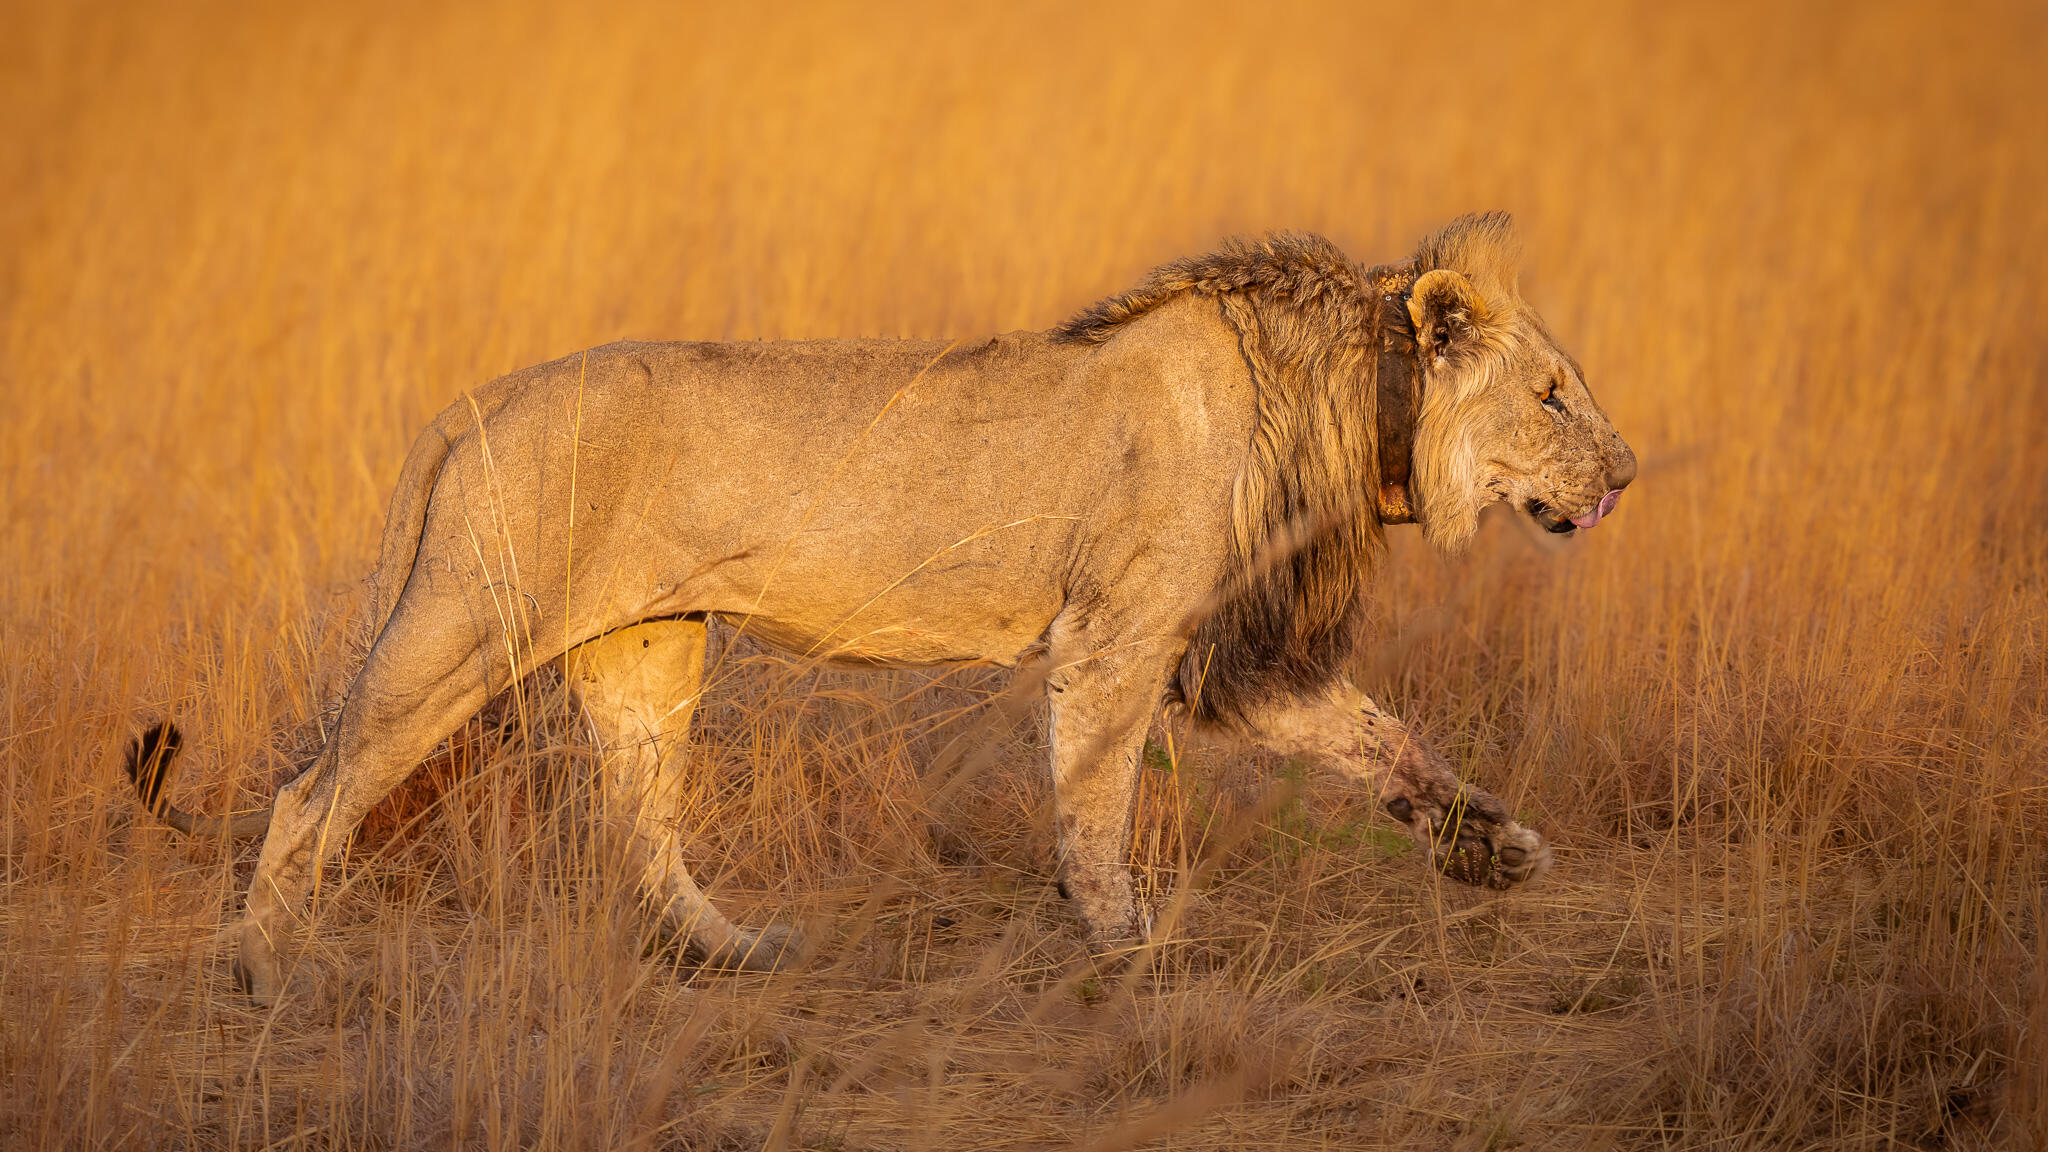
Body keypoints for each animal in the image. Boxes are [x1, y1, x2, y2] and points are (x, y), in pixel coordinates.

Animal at [125, 212, 1636, 1003]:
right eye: (1551, 393)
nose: (1622, 473)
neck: (1350, 401)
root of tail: (474, 404)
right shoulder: (1121, 632)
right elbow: (1094, 800)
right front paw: (1126, 947)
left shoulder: (1230, 650)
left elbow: (1380, 739)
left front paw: (1497, 853)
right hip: (463, 631)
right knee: (311, 795)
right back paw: (268, 970)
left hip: (645, 655)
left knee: (637, 828)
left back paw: (736, 950)